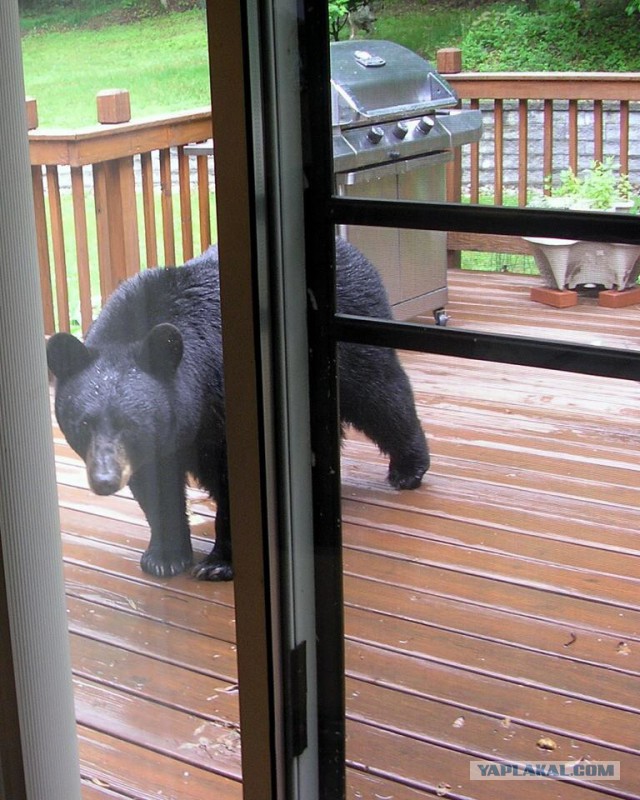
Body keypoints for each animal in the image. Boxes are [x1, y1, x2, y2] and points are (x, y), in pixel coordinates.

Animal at [46, 238, 430, 580]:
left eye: (131, 424)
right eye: (84, 423)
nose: (104, 480)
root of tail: (349, 248)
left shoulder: (220, 404)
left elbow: (235, 481)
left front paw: (220, 563)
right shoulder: (159, 443)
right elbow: (155, 484)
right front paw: (164, 557)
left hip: (355, 325)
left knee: (380, 393)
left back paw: (408, 468)